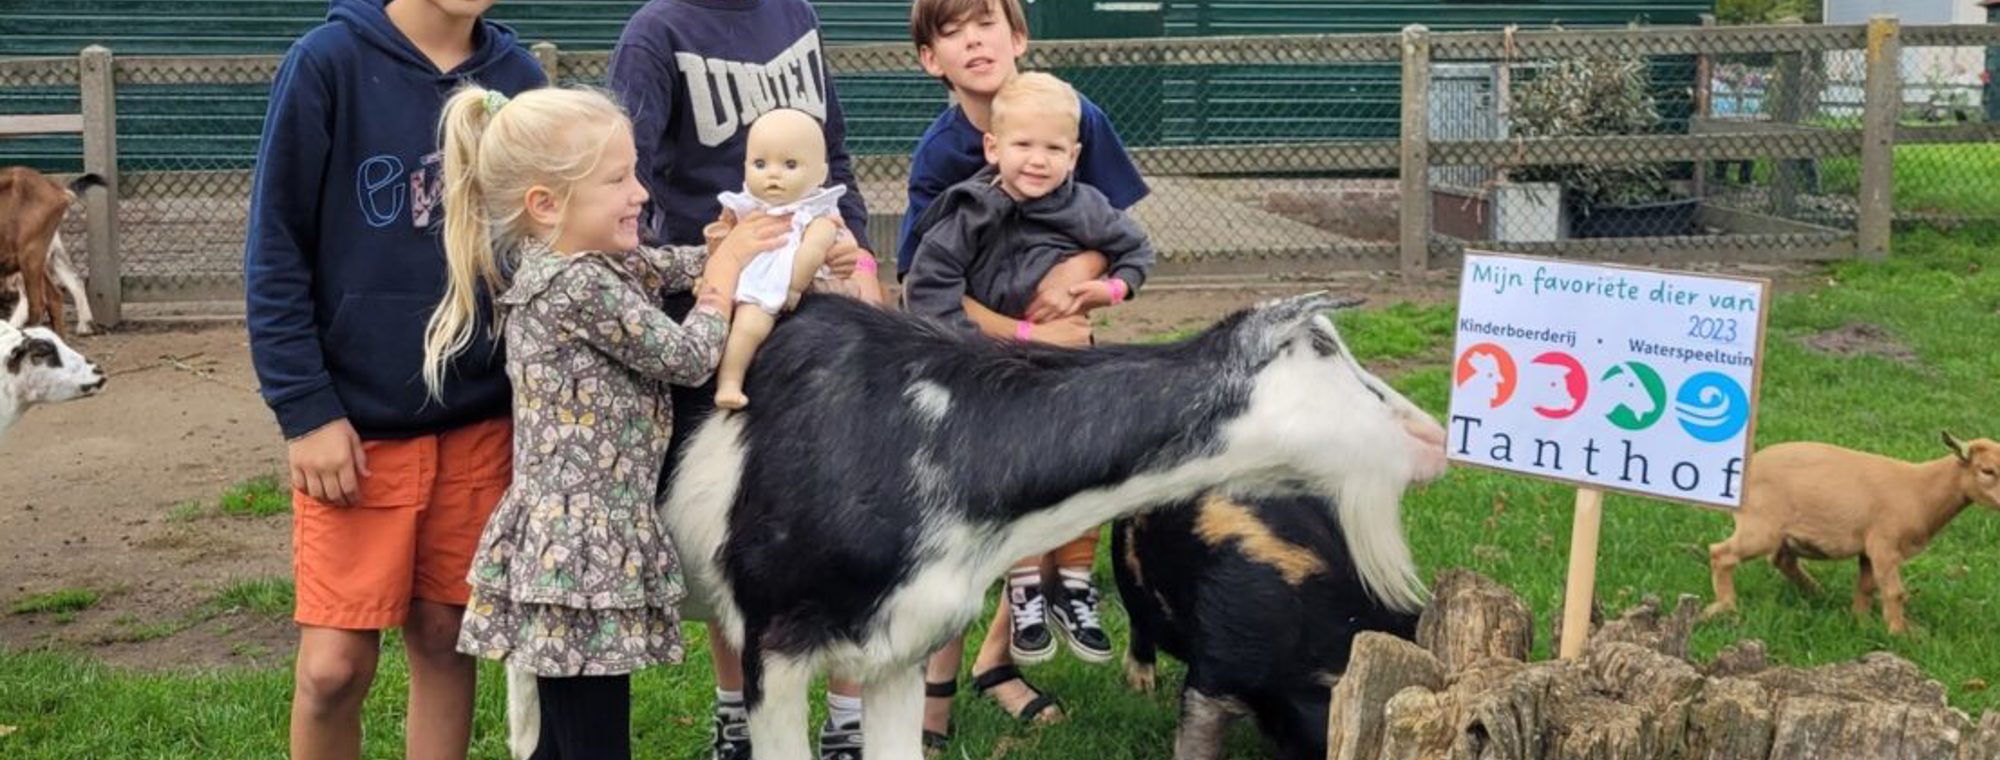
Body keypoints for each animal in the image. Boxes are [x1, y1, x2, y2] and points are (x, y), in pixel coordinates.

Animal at [1704, 430, 2000, 632]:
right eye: (1987, 470)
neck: (1921, 491)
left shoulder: (1869, 548)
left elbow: (1866, 586)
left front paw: (1860, 621)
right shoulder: (1885, 544)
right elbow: (1894, 591)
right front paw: (1899, 632)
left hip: (1783, 534)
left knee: (1781, 560)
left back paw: (1818, 593)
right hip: (1760, 526)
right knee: (1721, 553)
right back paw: (1726, 607)